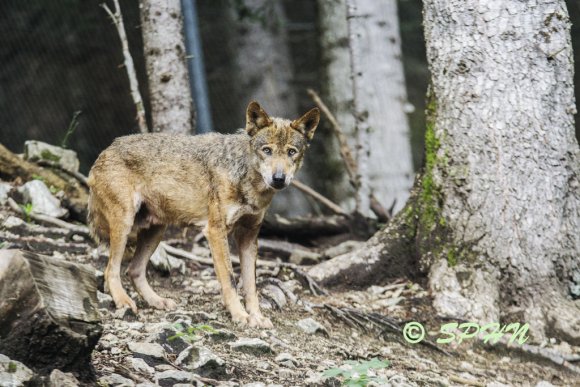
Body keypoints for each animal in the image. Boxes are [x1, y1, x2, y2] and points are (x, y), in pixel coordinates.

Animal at [88, 102, 320, 328]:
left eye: (291, 152)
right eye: (267, 150)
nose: (279, 178)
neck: (248, 182)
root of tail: (106, 150)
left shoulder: (249, 237)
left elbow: (251, 286)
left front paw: (256, 317)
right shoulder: (216, 231)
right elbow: (230, 280)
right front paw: (240, 315)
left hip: (156, 231)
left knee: (134, 270)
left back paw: (157, 301)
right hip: (125, 224)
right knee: (111, 270)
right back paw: (123, 301)